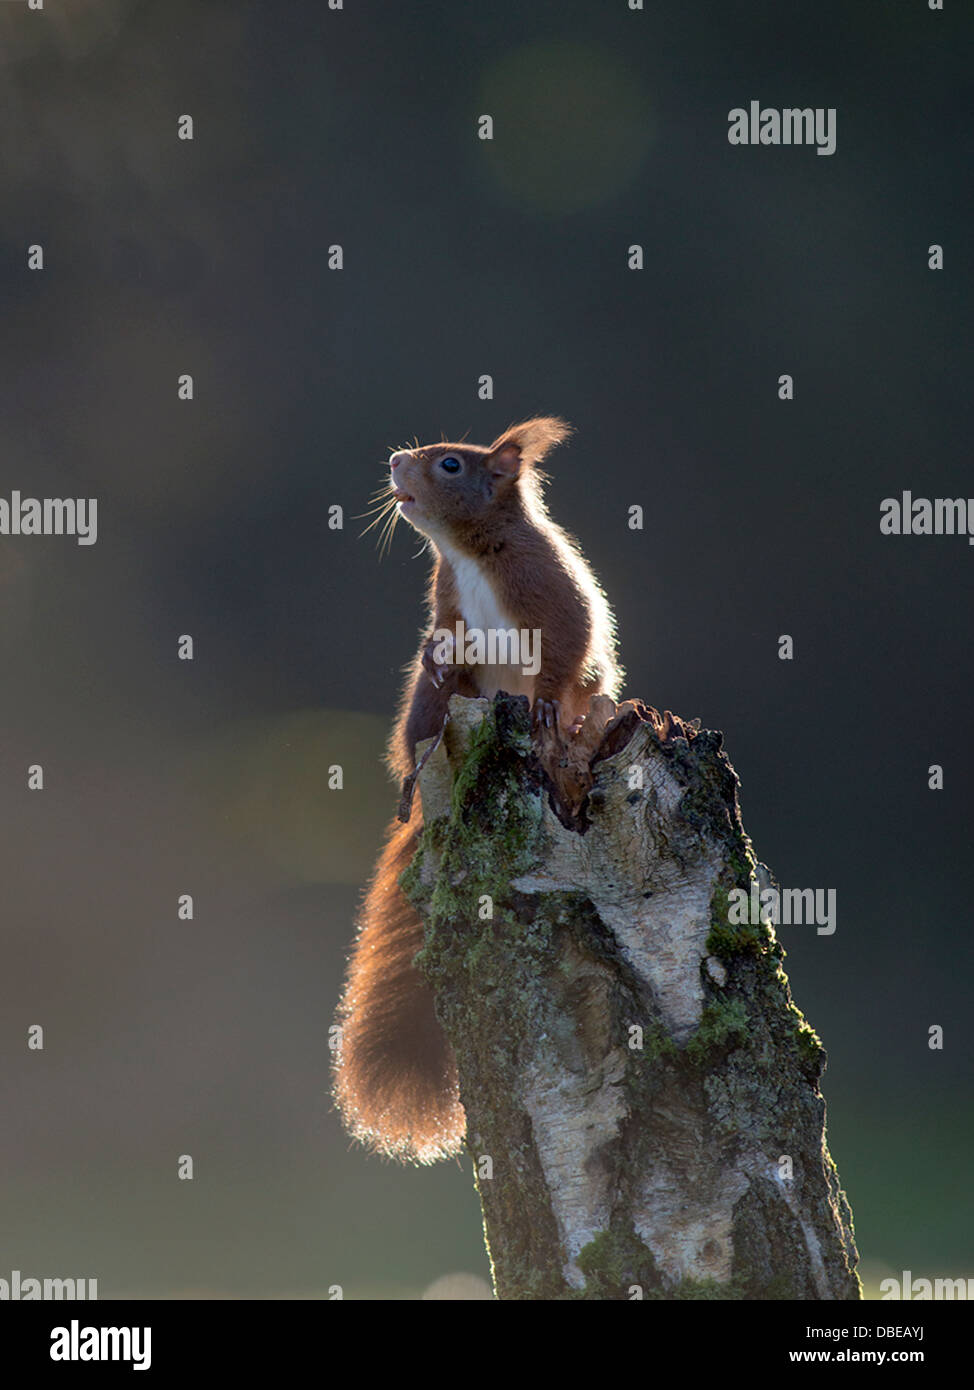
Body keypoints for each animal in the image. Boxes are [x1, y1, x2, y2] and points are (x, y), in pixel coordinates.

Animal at [332, 411, 622, 1162]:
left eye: (452, 464)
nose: (396, 461)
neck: (464, 552)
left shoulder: (550, 594)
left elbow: (567, 647)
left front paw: (548, 710)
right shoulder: (448, 616)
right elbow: (440, 658)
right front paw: (431, 689)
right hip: (441, 709)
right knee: (423, 727)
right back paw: (414, 773)